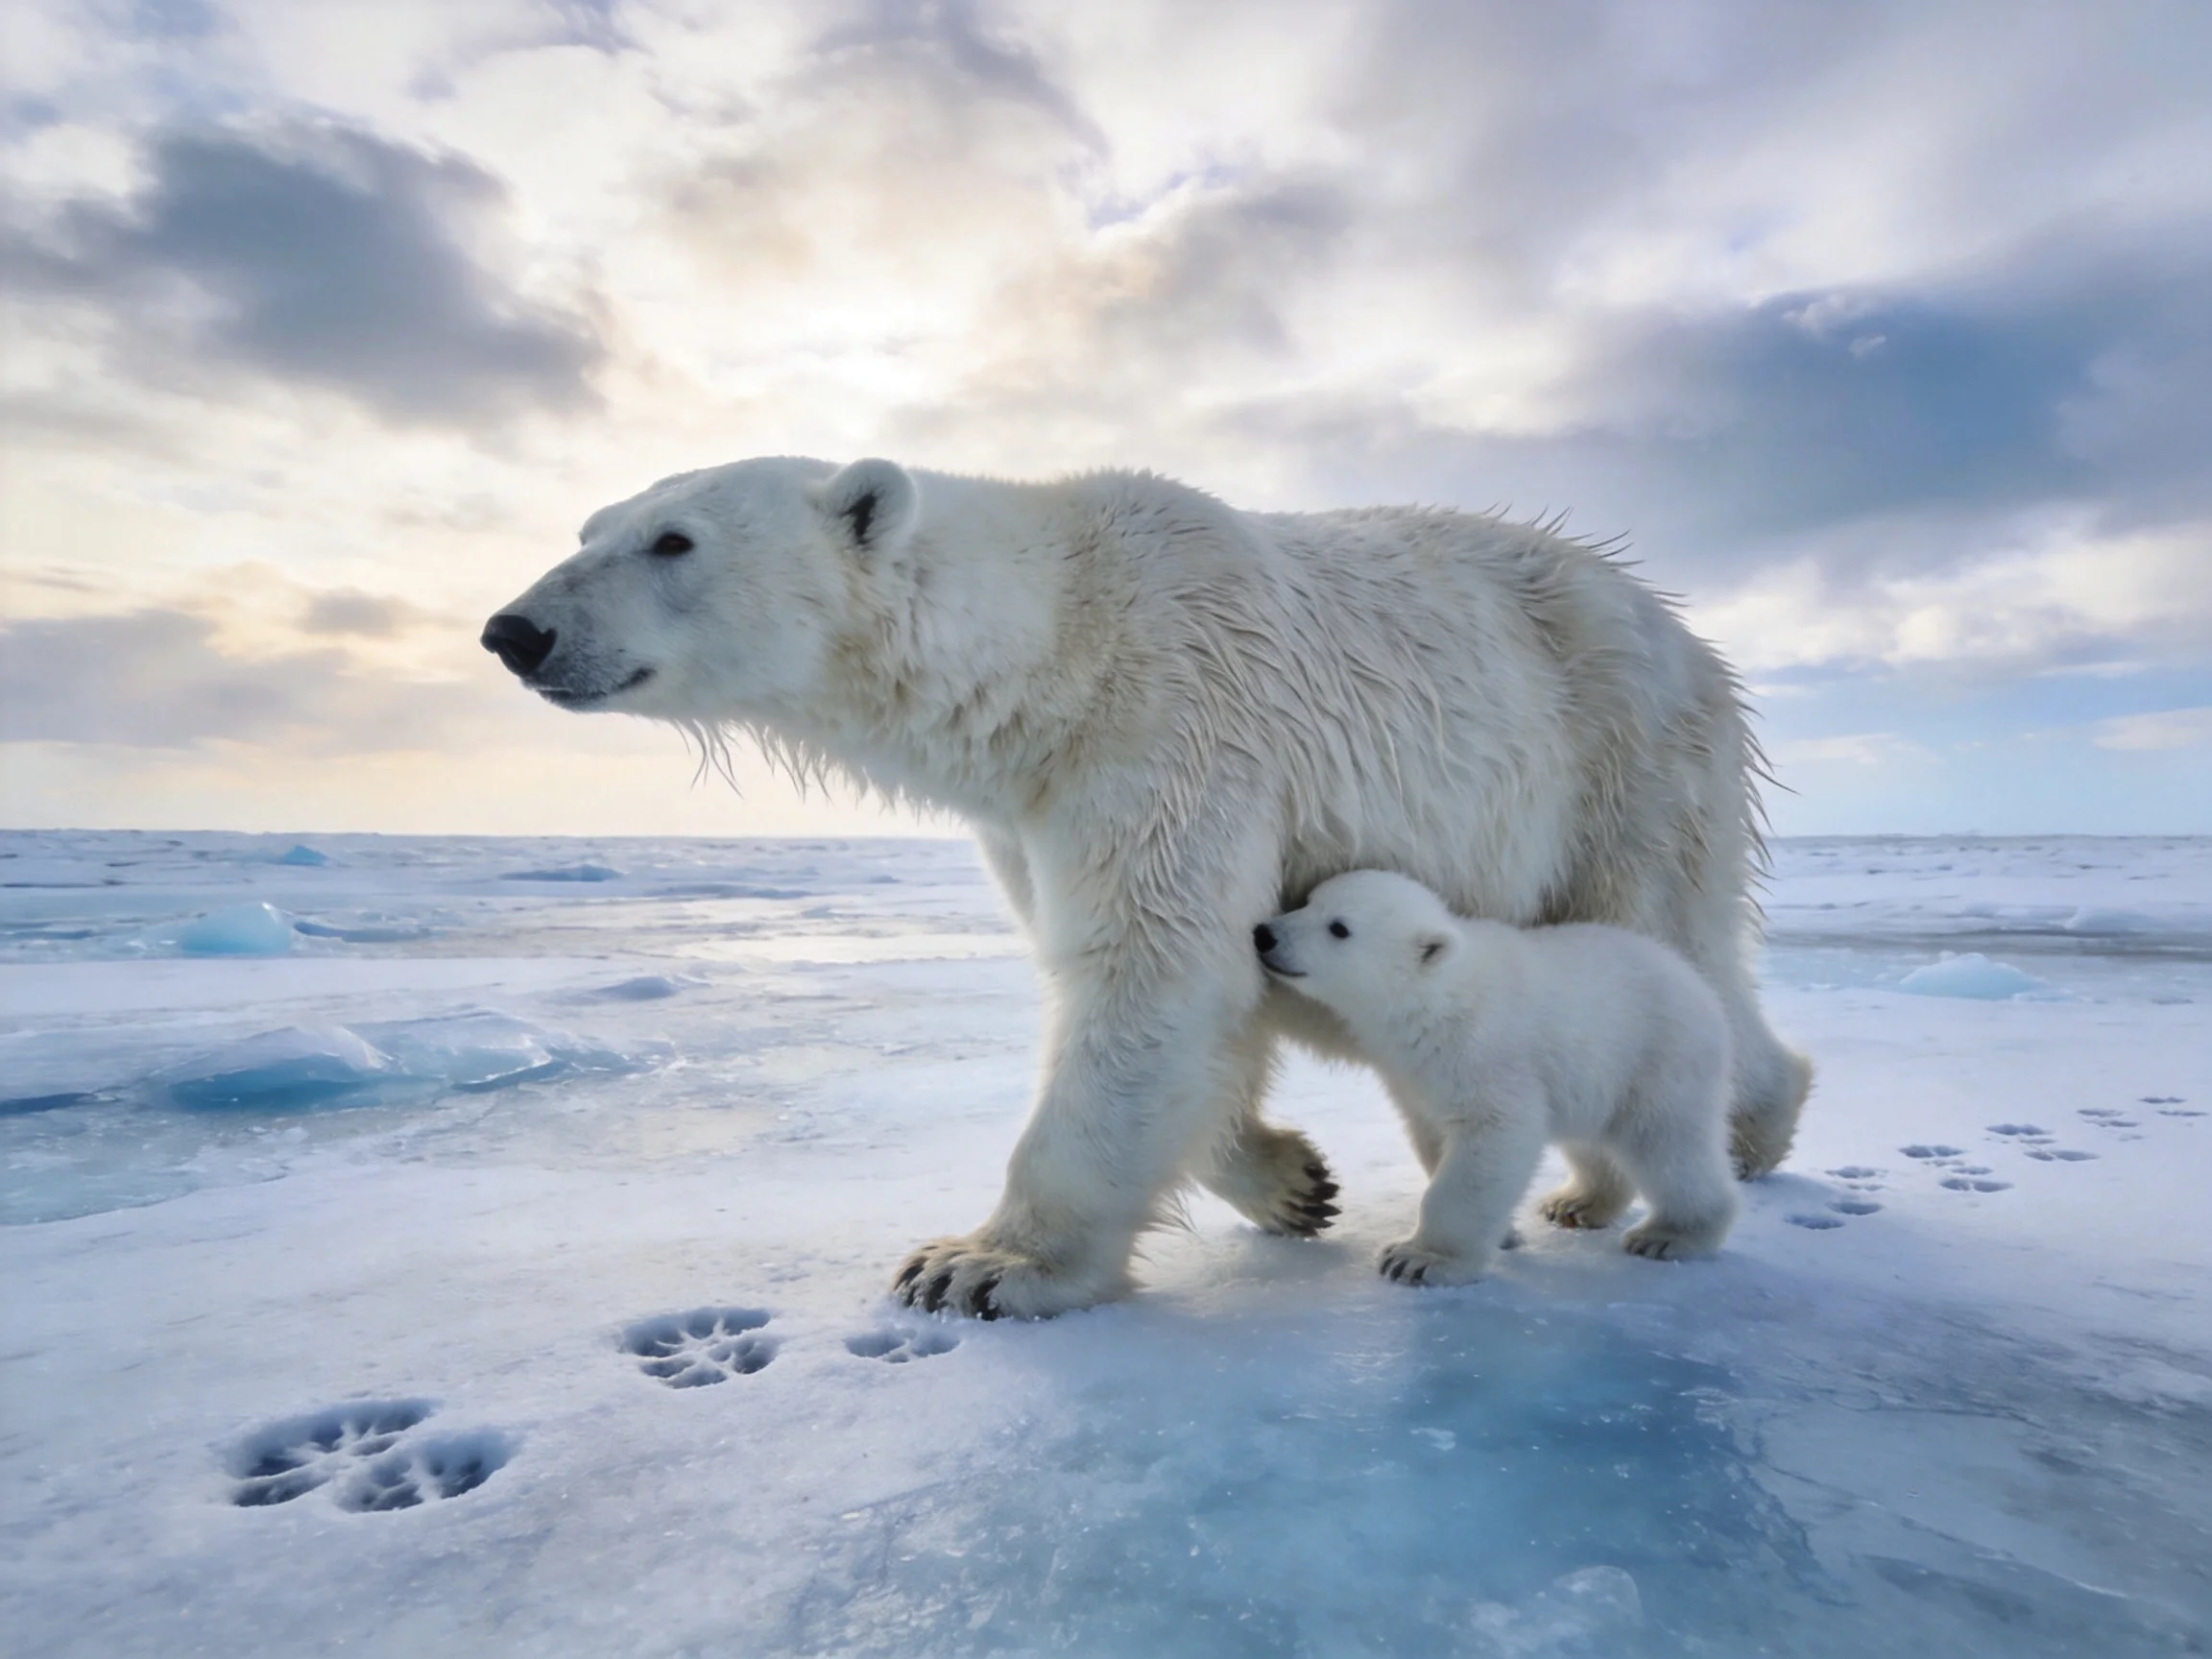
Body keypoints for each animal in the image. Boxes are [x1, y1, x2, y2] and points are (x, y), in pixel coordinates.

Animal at [1257, 869, 1741, 1284]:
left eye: (1339, 928)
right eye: (1308, 901)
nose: (1265, 933)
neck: (1435, 997)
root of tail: (1702, 988)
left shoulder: (1484, 1053)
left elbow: (1492, 1137)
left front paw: (1419, 1259)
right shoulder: (1414, 1073)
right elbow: (1433, 1135)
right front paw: (1503, 1232)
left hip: (1658, 1059)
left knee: (1669, 1147)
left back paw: (1671, 1234)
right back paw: (1577, 1201)